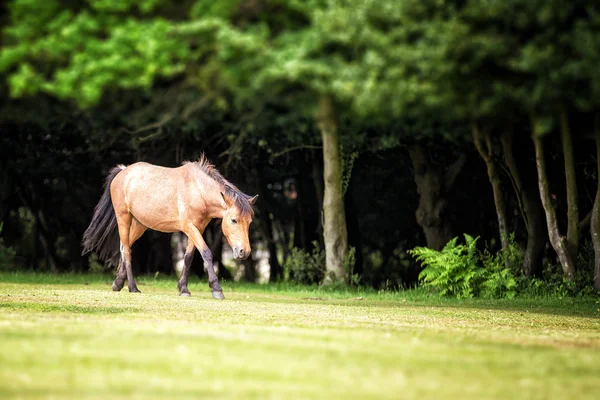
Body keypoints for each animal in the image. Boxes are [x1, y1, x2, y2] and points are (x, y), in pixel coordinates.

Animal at [81, 155, 255, 298]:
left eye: (249, 222)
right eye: (234, 220)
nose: (244, 252)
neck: (197, 190)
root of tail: (123, 171)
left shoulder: (197, 229)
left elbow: (188, 257)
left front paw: (183, 289)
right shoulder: (189, 227)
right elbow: (206, 253)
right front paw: (216, 289)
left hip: (139, 225)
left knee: (124, 247)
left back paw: (118, 283)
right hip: (123, 218)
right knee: (128, 251)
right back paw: (132, 287)